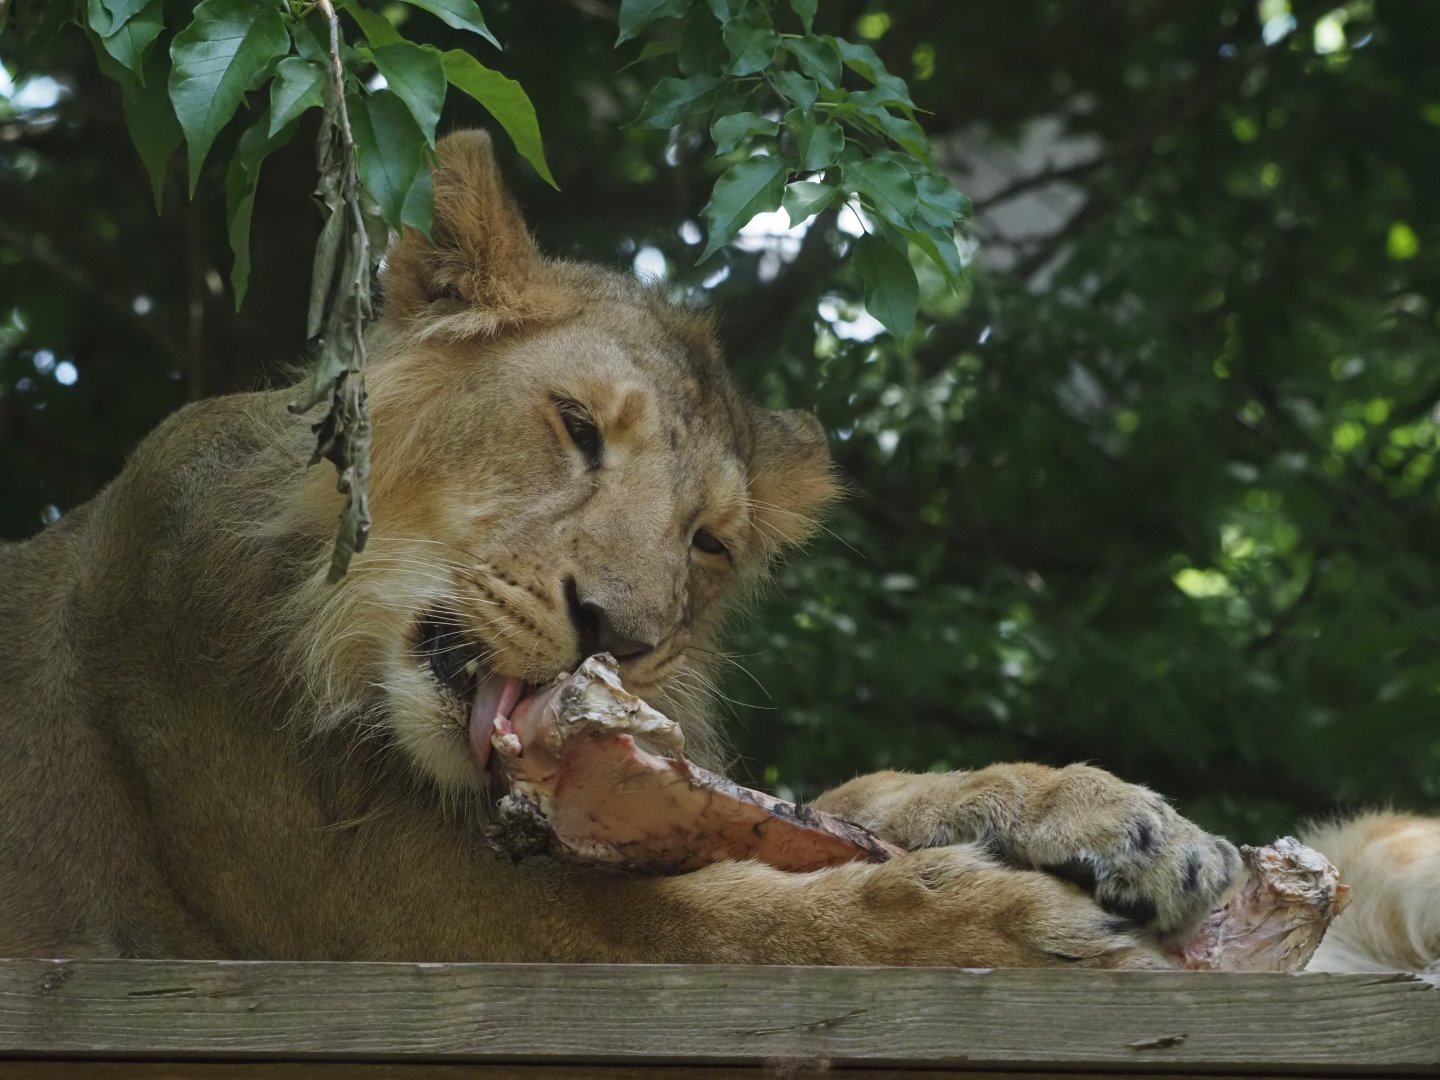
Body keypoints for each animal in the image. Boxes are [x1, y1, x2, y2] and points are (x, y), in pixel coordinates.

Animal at [0, 130, 1251, 966]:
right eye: (576, 426)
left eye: (708, 542)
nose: (625, 632)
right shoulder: (387, 906)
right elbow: (722, 925)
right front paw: (996, 924)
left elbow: (841, 799)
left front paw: (1121, 821)